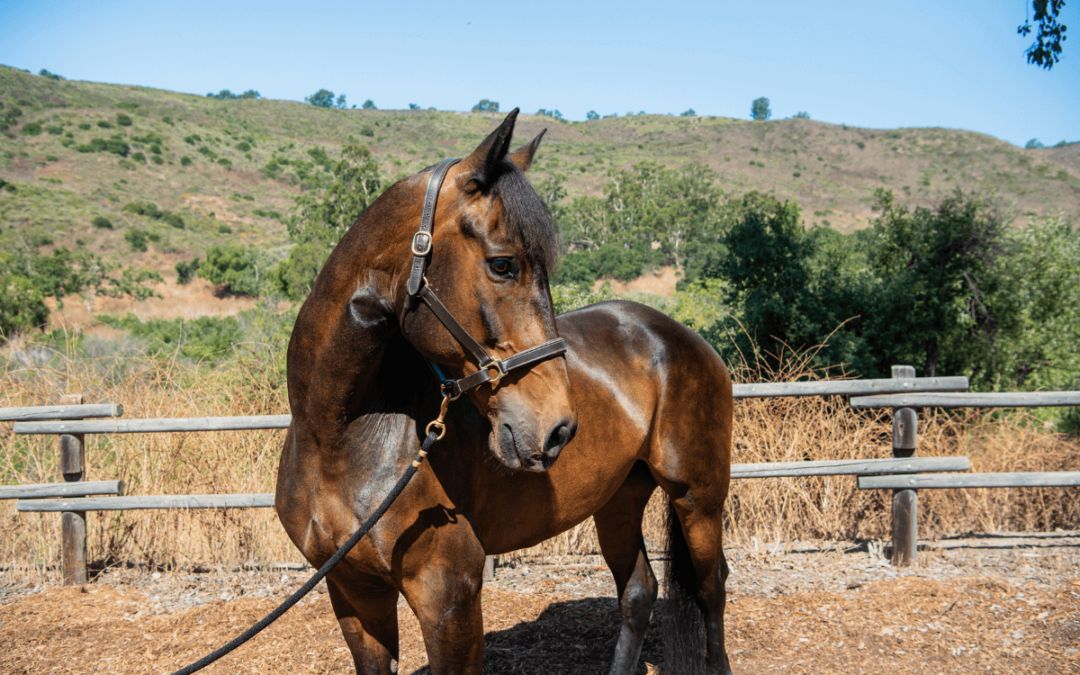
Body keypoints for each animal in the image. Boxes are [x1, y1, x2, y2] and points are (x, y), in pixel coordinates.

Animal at [276, 109, 734, 675]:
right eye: (503, 264)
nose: (559, 429)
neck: (339, 439)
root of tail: (681, 337)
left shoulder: (447, 597)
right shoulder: (353, 592)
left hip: (699, 497)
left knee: (712, 589)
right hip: (619, 497)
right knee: (638, 592)